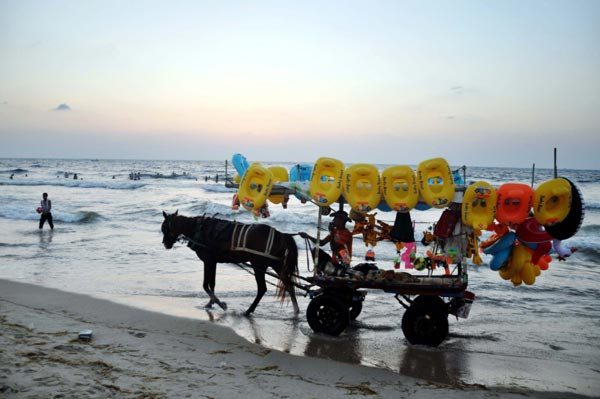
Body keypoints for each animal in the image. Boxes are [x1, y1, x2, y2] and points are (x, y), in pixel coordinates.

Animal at [162, 211, 300, 318]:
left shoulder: (208, 261)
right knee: (289, 285)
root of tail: (280, 234)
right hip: (277, 264)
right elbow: (211, 284)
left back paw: (249, 310)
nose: (165, 244)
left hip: (259, 265)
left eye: (164, 228)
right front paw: (211, 303)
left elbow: (206, 285)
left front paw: (220, 304)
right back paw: (296, 311)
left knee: (262, 289)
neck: (199, 228)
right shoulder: (212, 262)